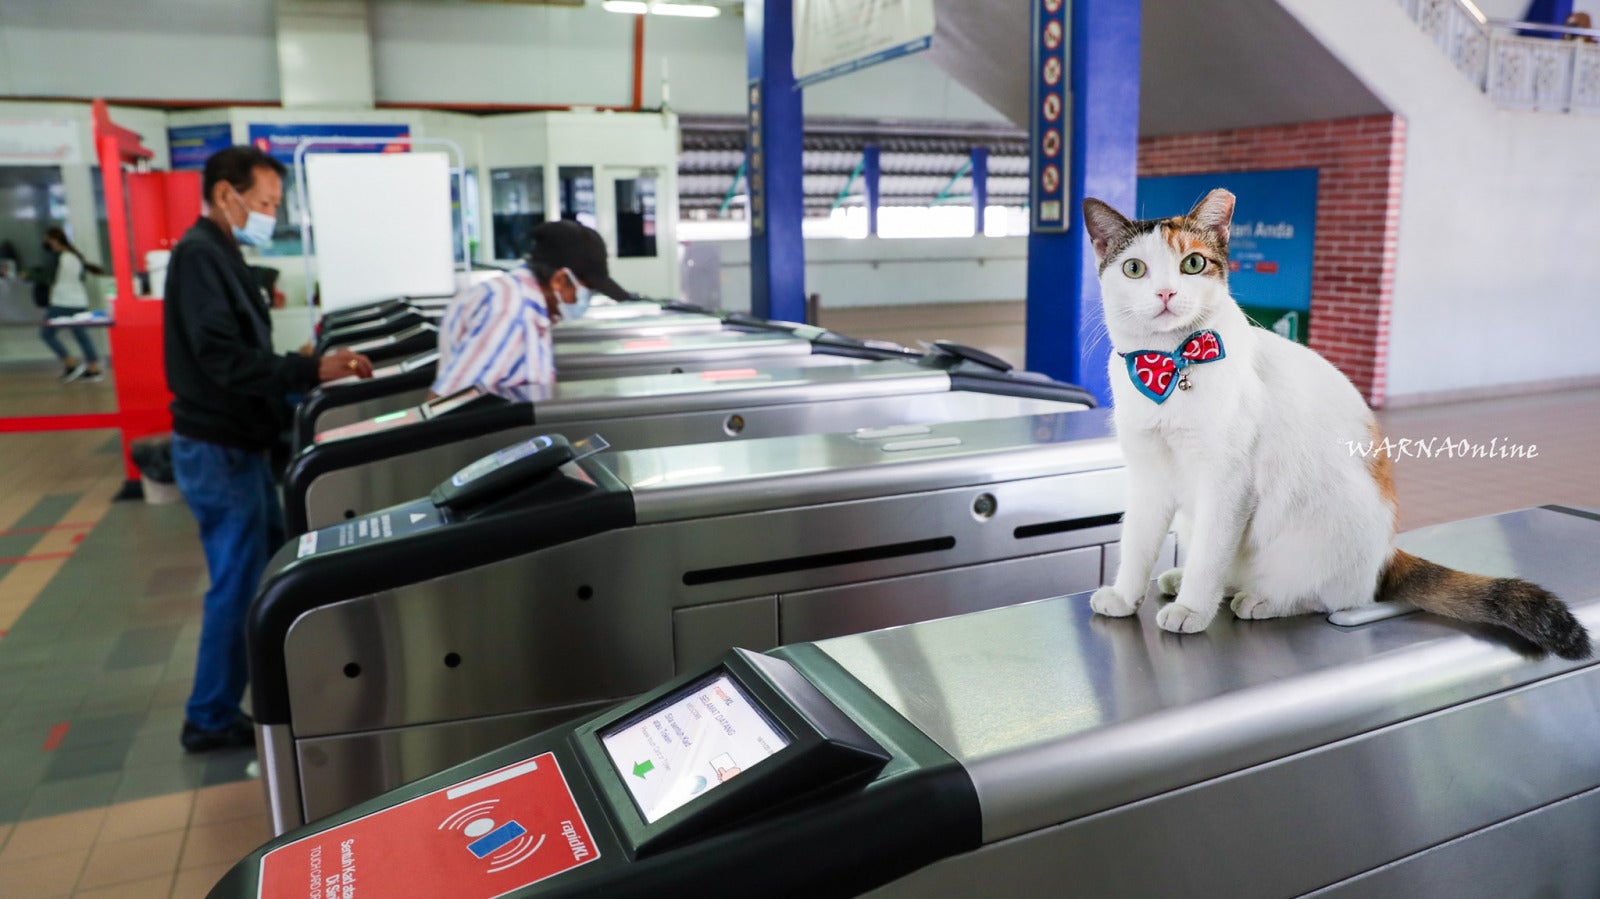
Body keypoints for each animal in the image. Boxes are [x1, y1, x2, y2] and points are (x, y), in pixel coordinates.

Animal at [1081, 187, 1593, 659]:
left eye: (1192, 264)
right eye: (1134, 269)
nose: (1166, 294)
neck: (1168, 366)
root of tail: (1386, 553)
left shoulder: (1227, 484)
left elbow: (1211, 553)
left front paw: (1192, 610)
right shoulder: (1148, 477)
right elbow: (1138, 542)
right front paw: (1126, 596)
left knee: (1330, 596)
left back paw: (1260, 599)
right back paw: (1182, 577)